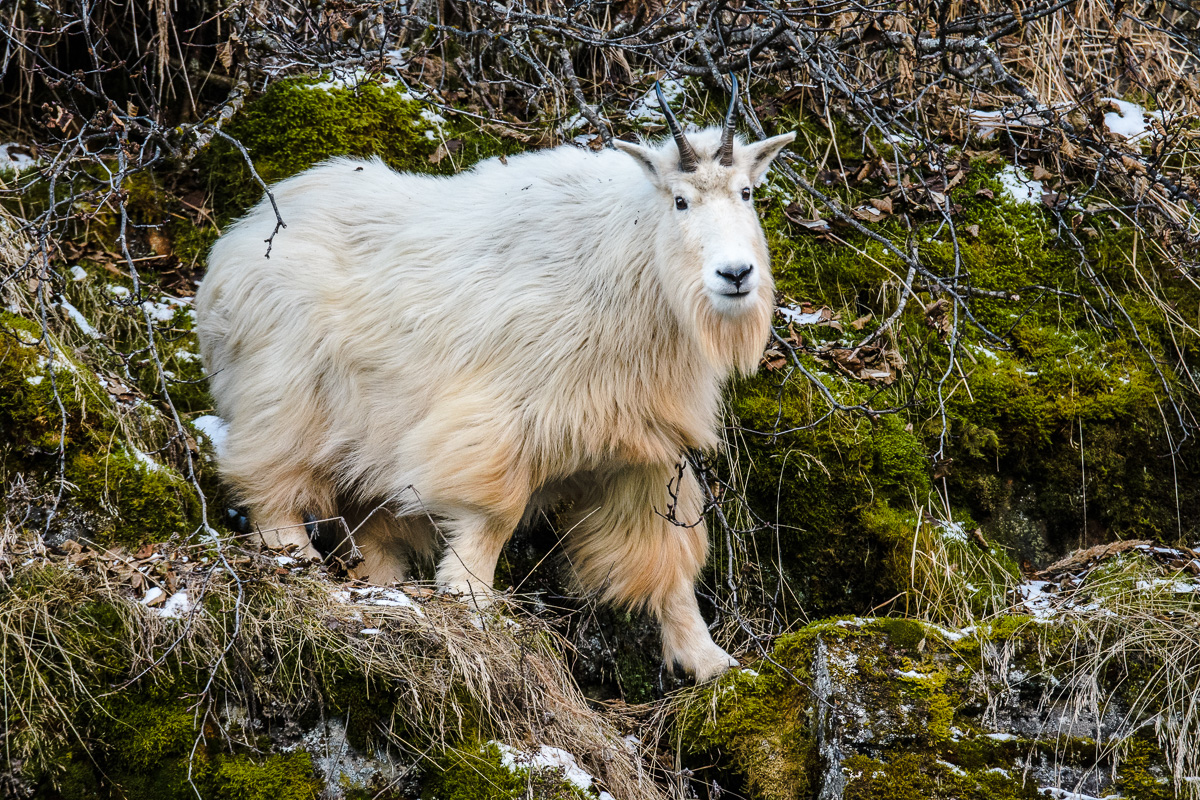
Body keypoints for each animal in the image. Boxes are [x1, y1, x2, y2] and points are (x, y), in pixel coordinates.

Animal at [195, 82, 794, 681]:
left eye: (746, 192)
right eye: (680, 201)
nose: (735, 275)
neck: (630, 265)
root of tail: (233, 244)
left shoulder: (641, 451)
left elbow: (663, 553)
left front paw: (710, 660)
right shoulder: (503, 421)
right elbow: (493, 514)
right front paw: (473, 605)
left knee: (367, 526)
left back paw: (383, 587)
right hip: (282, 396)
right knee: (270, 487)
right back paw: (299, 566)